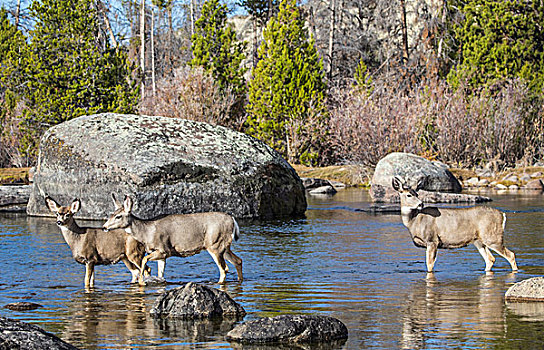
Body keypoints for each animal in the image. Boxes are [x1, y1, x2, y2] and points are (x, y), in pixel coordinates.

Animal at [103, 194, 243, 284]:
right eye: (111, 214)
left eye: (118, 216)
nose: (104, 227)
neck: (147, 232)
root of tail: (232, 220)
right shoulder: (162, 256)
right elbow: (160, 274)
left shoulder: (164, 250)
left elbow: (144, 260)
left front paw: (142, 282)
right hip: (224, 246)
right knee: (238, 261)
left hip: (214, 244)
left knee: (224, 269)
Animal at [392, 176, 520, 272]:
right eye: (409, 194)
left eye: (417, 194)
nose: (421, 204)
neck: (414, 221)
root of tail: (502, 215)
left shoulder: (432, 240)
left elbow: (429, 265)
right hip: (479, 241)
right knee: (490, 259)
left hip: (493, 237)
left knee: (511, 255)